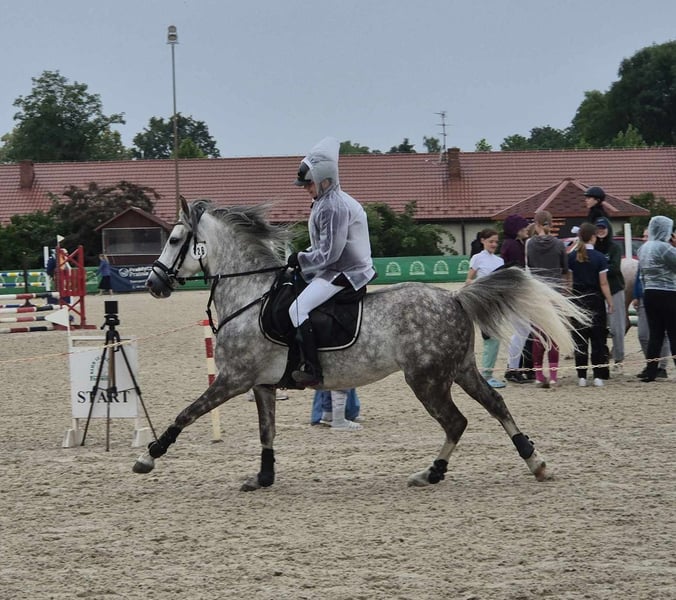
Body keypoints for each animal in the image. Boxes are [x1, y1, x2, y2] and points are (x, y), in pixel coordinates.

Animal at [134, 198, 588, 491]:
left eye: (173, 240)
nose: (153, 283)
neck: (249, 294)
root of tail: (454, 297)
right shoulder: (260, 384)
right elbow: (267, 431)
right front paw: (263, 477)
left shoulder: (233, 379)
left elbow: (186, 413)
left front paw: (149, 455)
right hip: (458, 369)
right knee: (494, 406)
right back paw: (534, 461)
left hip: (426, 380)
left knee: (456, 422)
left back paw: (431, 473)